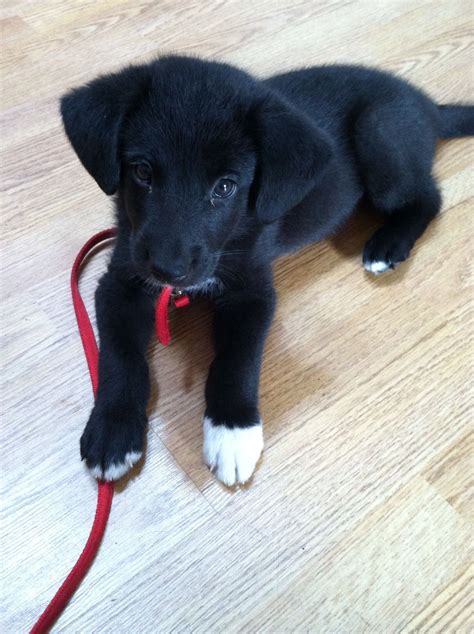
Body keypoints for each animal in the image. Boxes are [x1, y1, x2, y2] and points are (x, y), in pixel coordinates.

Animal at [60, 56, 474, 486]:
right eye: (142, 172)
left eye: (225, 187)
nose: (167, 269)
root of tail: (427, 106)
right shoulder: (119, 282)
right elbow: (120, 356)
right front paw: (112, 428)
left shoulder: (252, 292)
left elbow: (238, 359)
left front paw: (232, 430)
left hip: (380, 134)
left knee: (428, 197)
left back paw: (388, 245)